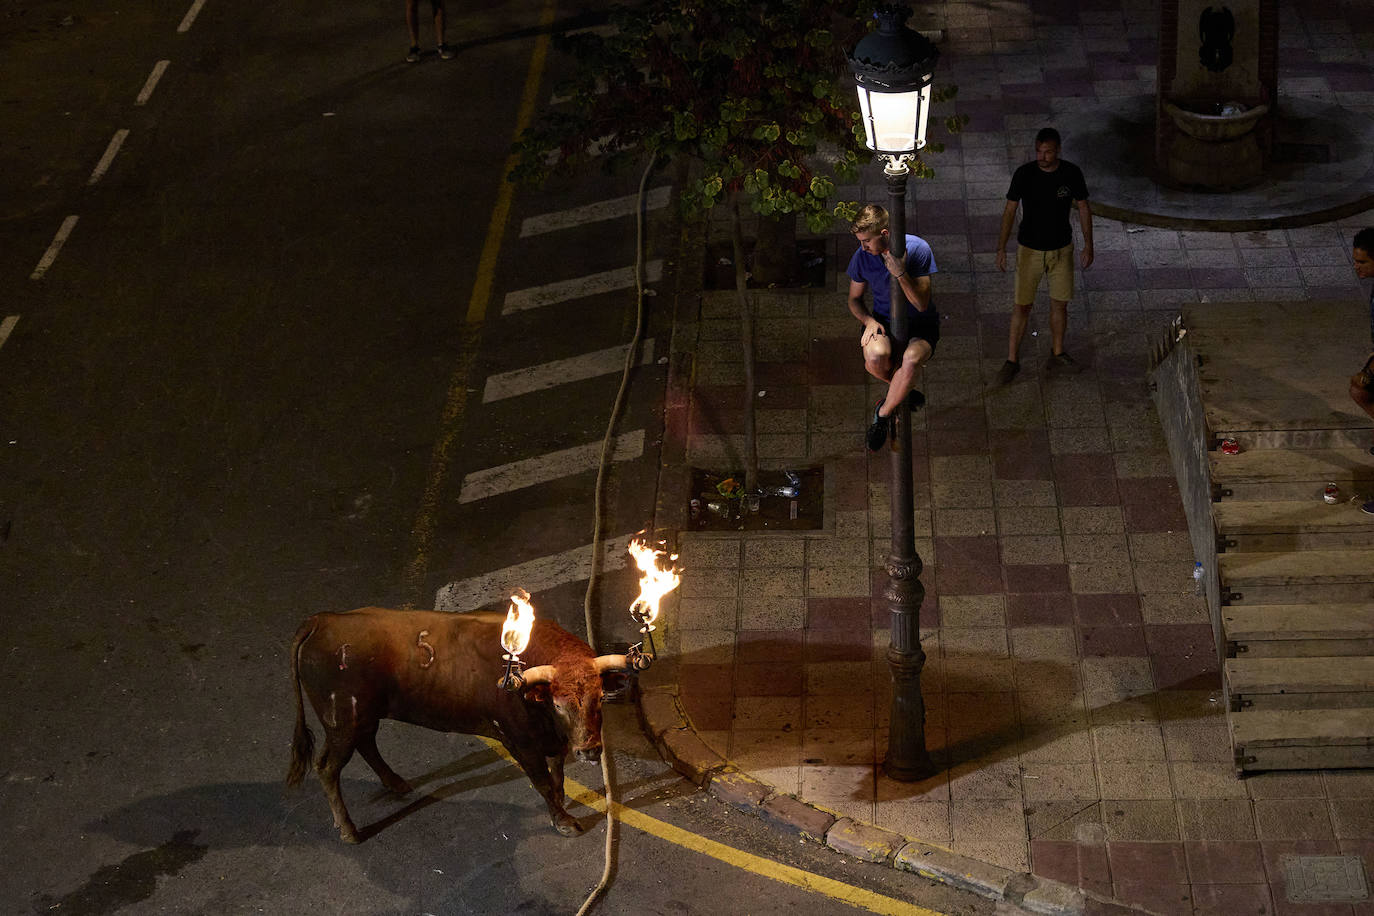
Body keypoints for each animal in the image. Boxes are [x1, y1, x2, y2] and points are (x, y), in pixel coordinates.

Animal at [292, 609, 634, 845]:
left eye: (600, 698)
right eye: (559, 704)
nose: (589, 750)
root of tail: (322, 620)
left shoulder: (552, 740)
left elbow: (558, 775)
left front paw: (561, 806)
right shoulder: (520, 742)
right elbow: (544, 783)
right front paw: (563, 821)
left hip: (360, 718)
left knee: (366, 744)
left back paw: (396, 783)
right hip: (341, 723)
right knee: (327, 768)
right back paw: (349, 830)